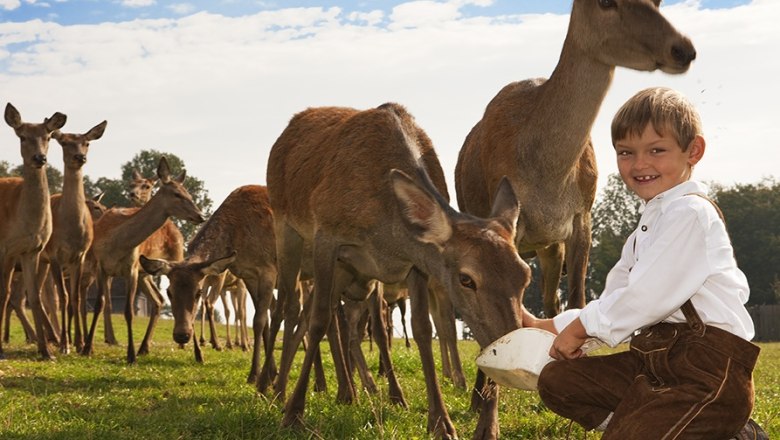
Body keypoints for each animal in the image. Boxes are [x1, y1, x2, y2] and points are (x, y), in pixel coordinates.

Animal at [0, 103, 67, 360]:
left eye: (47, 136)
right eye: (22, 136)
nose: (40, 157)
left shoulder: (32, 250)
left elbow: (35, 296)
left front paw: (46, 351)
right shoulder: (6, 248)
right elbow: (4, 293)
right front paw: (0, 348)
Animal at [36, 121, 107, 354]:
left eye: (87, 143)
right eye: (65, 142)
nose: (80, 157)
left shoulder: (79, 257)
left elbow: (75, 299)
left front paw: (80, 344)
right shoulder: (56, 255)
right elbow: (65, 298)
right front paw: (65, 345)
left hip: (43, 262)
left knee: (39, 294)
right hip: (39, 257)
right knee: (45, 296)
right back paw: (54, 339)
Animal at [82, 157, 204, 363]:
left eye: (188, 192)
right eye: (177, 194)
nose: (201, 215)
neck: (117, 242)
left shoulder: (131, 268)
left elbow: (129, 311)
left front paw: (130, 355)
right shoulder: (102, 267)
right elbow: (99, 304)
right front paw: (86, 348)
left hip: (174, 257)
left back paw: (195, 352)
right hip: (145, 273)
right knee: (158, 300)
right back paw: (144, 347)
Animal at [266, 102, 530, 439]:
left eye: (525, 275)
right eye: (466, 279)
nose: (517, 349)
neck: (387, 229)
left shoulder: (414, 266)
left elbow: (422, 329)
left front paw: (444, 422)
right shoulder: (327, 236)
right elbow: (318, 321)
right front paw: (294, 414)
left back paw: (344, 391)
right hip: (287, 231)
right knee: (287, 309)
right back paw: (273, 389)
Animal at [454, 1, 696, 436]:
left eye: (659, 3)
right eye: (606, 3)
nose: (682, 48)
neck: (547, 174)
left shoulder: (581, 218)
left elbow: (578, 299)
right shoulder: (503, 222)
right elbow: (495, 314)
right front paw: (487, 424)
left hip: (550, 247)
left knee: (551, 300)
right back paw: (478, 395)